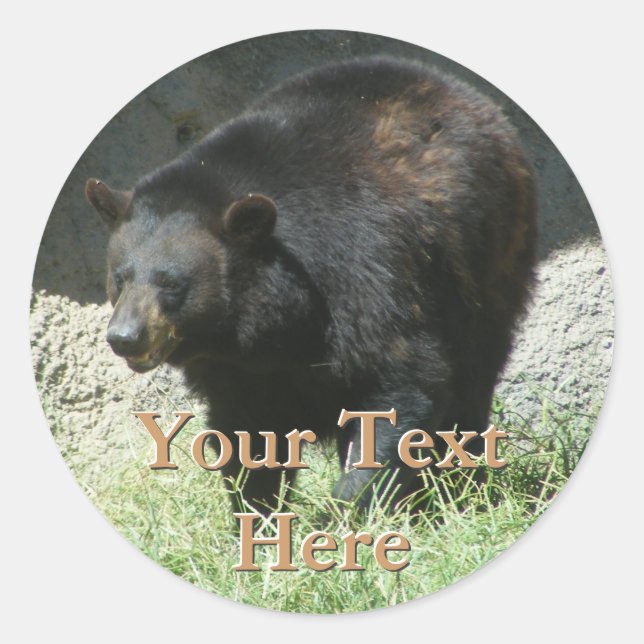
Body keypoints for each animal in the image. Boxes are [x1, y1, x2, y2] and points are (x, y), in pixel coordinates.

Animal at [85, 56, 537, 514]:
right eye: (119, 278)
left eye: (171, 283)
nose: (124, 337)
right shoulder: (234, 367)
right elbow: (244, 431)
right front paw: (259, 513)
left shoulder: (368, 275)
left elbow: (401, 382)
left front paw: (352, 507)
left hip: (486, 261)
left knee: (474, 373)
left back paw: (462, 485)